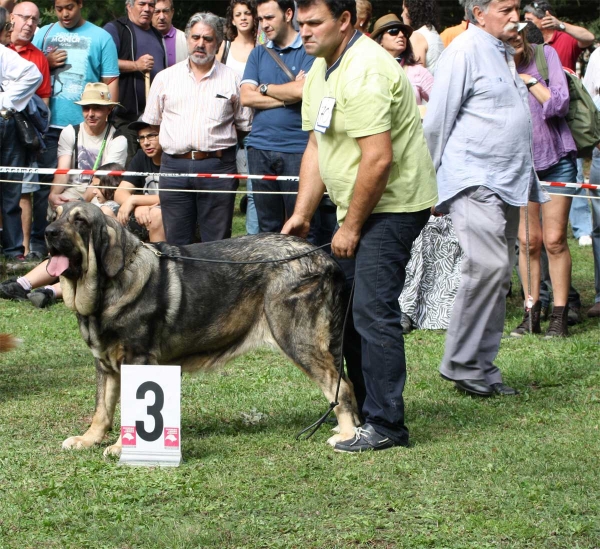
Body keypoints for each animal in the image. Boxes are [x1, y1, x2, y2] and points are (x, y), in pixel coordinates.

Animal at [47, 201, 360, 454]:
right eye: (55, 215)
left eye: (80, 221)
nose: (49, 232)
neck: (108, 287)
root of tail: (324, 257)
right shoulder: (105, 363)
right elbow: (102, 409)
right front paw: (88, 439)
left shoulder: (137, 359)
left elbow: (133, 409)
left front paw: (124, 447)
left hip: (298, 339)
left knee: (340, 385)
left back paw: (346, 434)